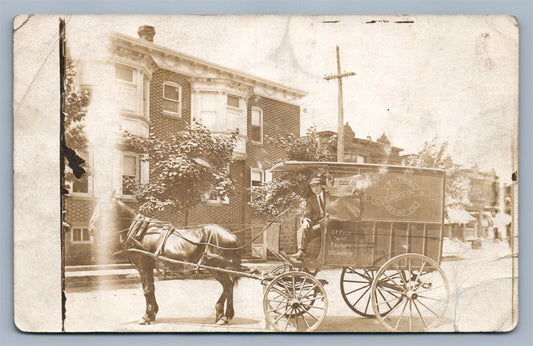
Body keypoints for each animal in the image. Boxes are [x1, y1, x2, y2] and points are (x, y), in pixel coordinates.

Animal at [89, 196, 243, 326]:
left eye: (103, 208)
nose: (90, 229)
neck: (139, 232)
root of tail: (232, 235)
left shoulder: (145, 266)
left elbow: (147, 290)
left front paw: (146, 317)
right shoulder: (144, 268)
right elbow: (150, 289)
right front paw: (152, 313)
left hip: (216, 267)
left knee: (228, 286)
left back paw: (224, 316)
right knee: (228, 286)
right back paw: (224, 314)